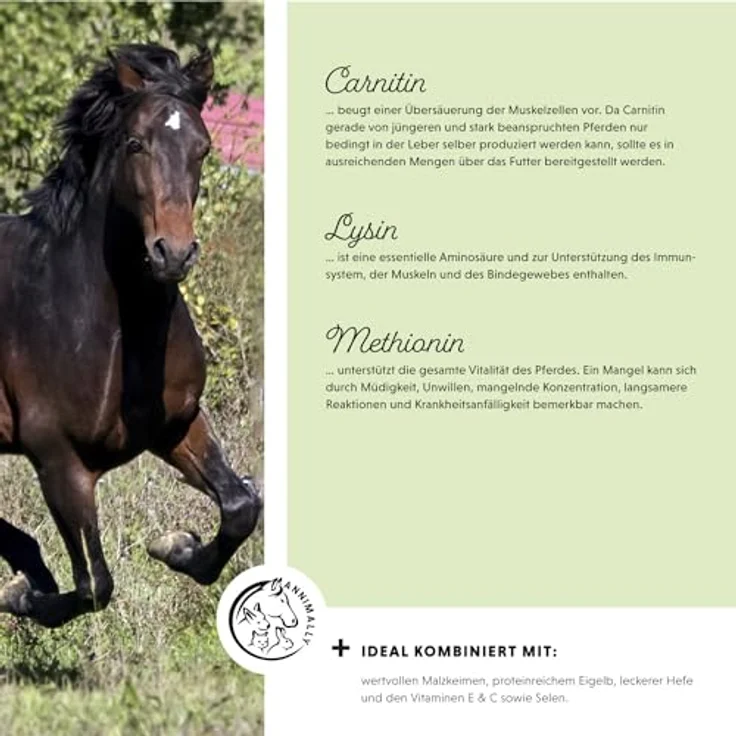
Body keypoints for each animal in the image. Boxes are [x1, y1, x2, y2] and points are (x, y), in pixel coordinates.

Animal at [0, 44, 261, 628]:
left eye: (203, 148)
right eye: (135, 143)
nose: (174, 253)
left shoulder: (177, 425)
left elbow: (241, 506)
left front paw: (177, 546)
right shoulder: (59, 461)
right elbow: (94, 584)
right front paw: (21, 595)